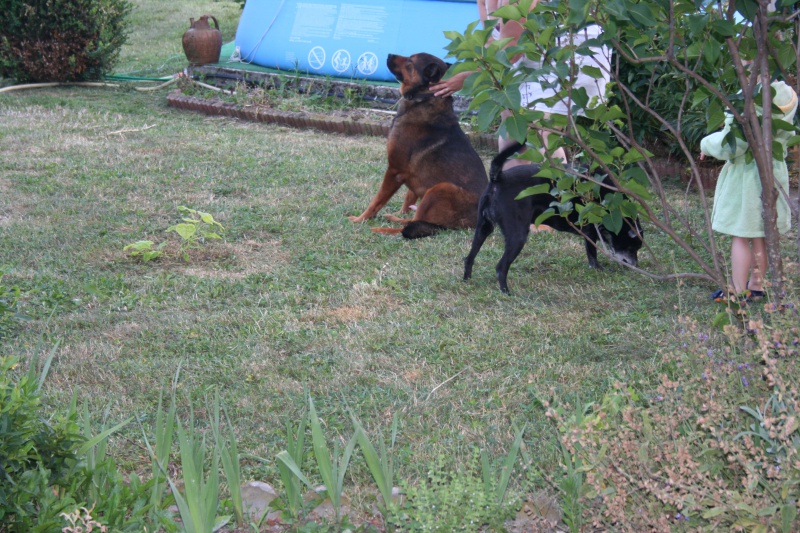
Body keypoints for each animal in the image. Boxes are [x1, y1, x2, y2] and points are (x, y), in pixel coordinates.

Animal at [348, 53, 488, 238]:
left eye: (410, 61)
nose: (388, 55)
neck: (424, 96)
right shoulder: (411, 175)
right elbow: (408, 199)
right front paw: (400, 212)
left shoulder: (395, 171)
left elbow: (376, 201)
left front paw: (360, 219)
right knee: (413, 221)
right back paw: (394, 218)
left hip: (440, 188)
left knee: (407, 229)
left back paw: (381, 229)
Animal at [462, 143, 644, 294]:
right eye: (632, 247)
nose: (636, 265)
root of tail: (498, 178)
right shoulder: (591, 232)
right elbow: (592, 253)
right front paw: (599, 268)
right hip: (517, 236)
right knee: (500, 267)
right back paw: (506, 291)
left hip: (483, 228)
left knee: (469, 257)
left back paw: (467, 280)